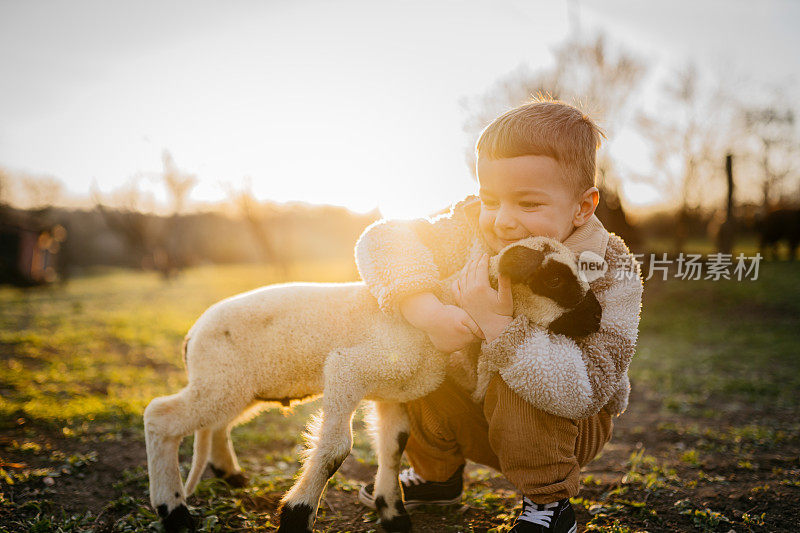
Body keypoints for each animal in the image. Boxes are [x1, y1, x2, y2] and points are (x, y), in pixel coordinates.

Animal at [142, 237, 600, 532]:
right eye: (554, 280)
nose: (596, 316)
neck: (449, 307)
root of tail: (193, 333)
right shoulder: (348, 368)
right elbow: (335, 449)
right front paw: (296, 515)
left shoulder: (392, 394)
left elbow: (394, 445)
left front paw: (392, 513)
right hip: (222, 381)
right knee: (160, 417)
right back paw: (174, 511)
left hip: (238, 386)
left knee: (215, 424)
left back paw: (229, 475)